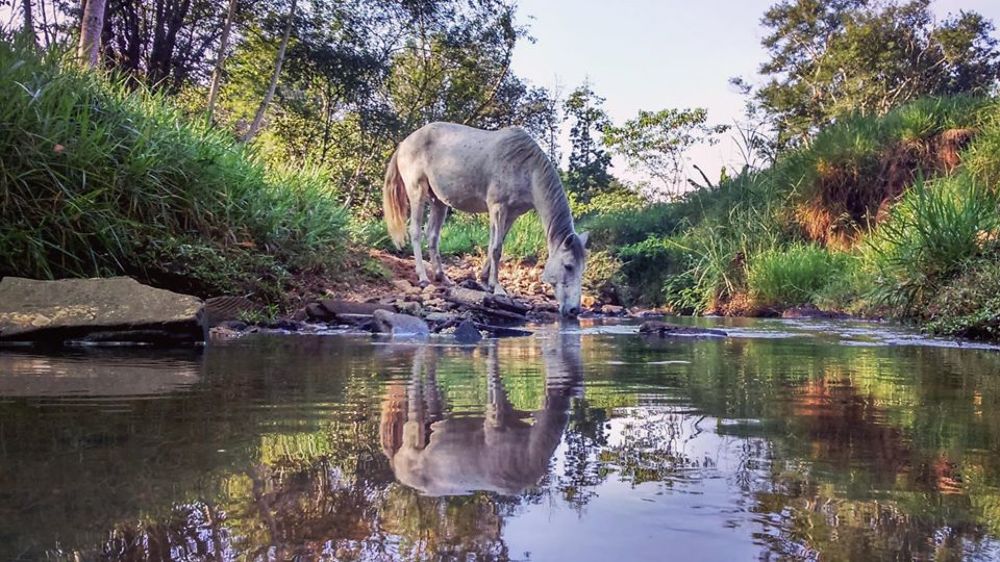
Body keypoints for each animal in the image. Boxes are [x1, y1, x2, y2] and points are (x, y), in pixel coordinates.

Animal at [383, 122, 589, 317]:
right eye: (568, 266)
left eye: (581, 269)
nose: (574, 310)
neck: (527, 168)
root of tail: (404, 143)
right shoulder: (498, 207)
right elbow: (497, 249)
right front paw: (497, 288)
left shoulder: (511, 214)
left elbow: (493, 246)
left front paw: (485, 281)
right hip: (417, 191)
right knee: (416, 232)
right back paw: (423, 277)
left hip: (438, 201)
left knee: (432, 235)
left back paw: (442, 277)